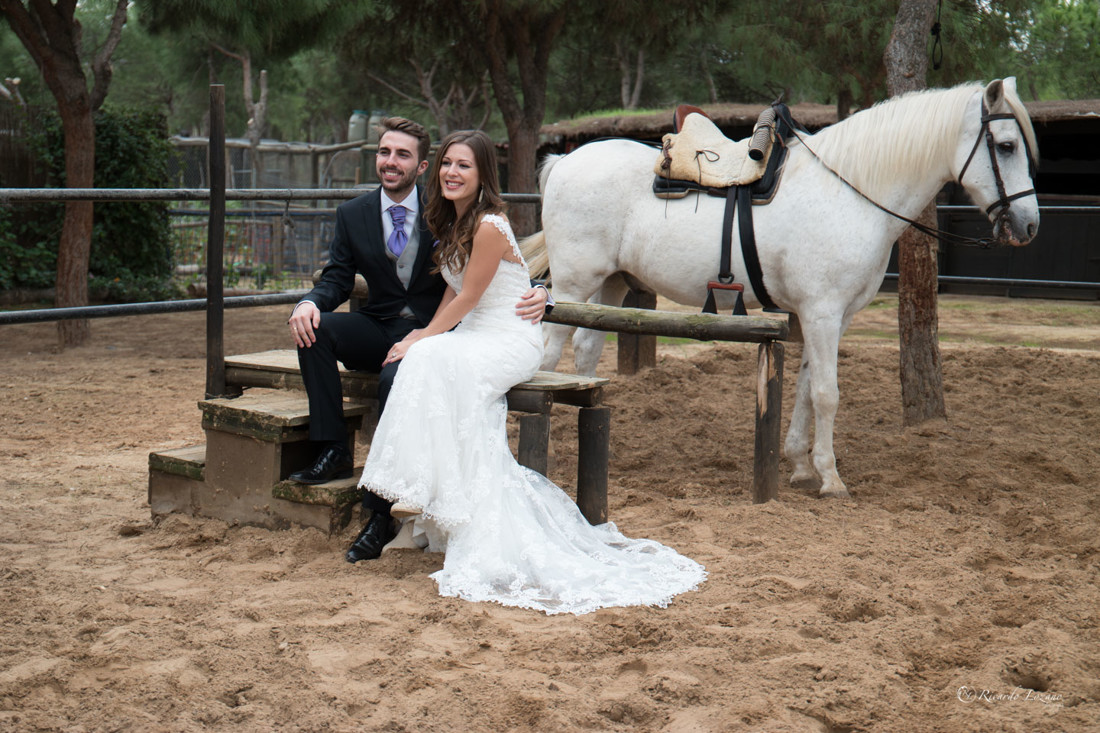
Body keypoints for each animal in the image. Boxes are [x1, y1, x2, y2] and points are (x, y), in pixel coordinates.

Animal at [523, 79, 1038, 497]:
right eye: (1006, 145)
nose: (1029, 226)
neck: (850, 191)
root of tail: (565, 160)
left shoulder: (829, 317)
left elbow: (807, 385)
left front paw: (800, 466)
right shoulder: (823, 312)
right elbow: (827, 392)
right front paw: (830, 478)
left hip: (610, 284)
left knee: (586, 350)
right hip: (573, 283)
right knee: (548, 356)